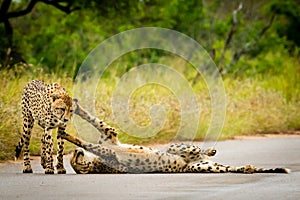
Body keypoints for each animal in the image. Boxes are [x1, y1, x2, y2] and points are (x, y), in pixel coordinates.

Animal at [59, 101, 290, 173]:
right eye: (76, 163)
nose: (76, 154)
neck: (95, 163)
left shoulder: (109, 137)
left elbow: (94, 121)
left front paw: (74, 109)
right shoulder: (109, 150)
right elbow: (87, 141)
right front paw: (67, 134)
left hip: (176, 148)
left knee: (194, 148)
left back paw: (212, 149)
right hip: (205, 168)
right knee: (231, 168)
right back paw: (247, 167)